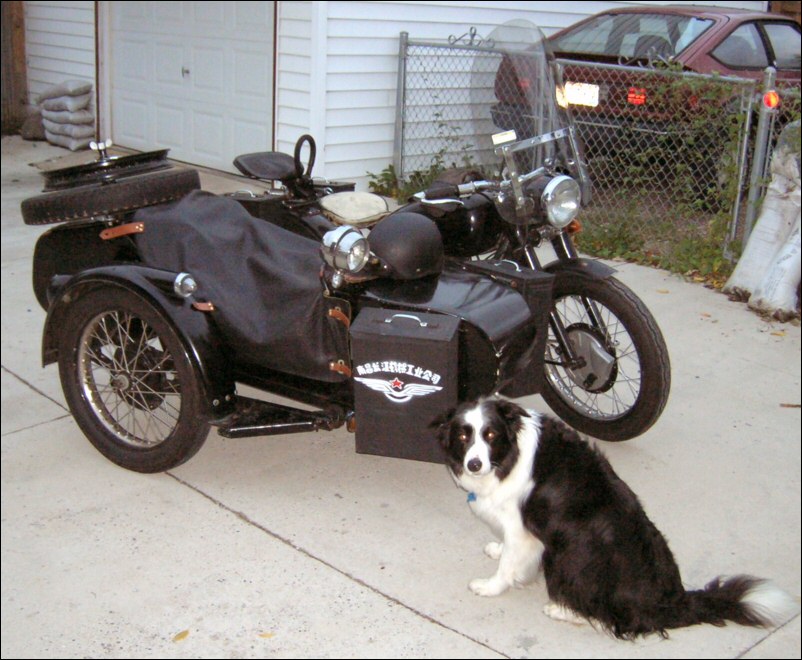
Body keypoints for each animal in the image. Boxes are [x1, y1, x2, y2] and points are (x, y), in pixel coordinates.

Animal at [433, 396, 798, 639]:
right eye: (463, 435)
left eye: (490, 435)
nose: (474, 464)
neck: (510, 455)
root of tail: (671, 602)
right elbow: (508, 553)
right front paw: (496, 548)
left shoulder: (522, 528)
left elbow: (509, 565)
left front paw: (489, 586)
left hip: (571, 553)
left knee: (613, 620)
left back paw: (562, 609)